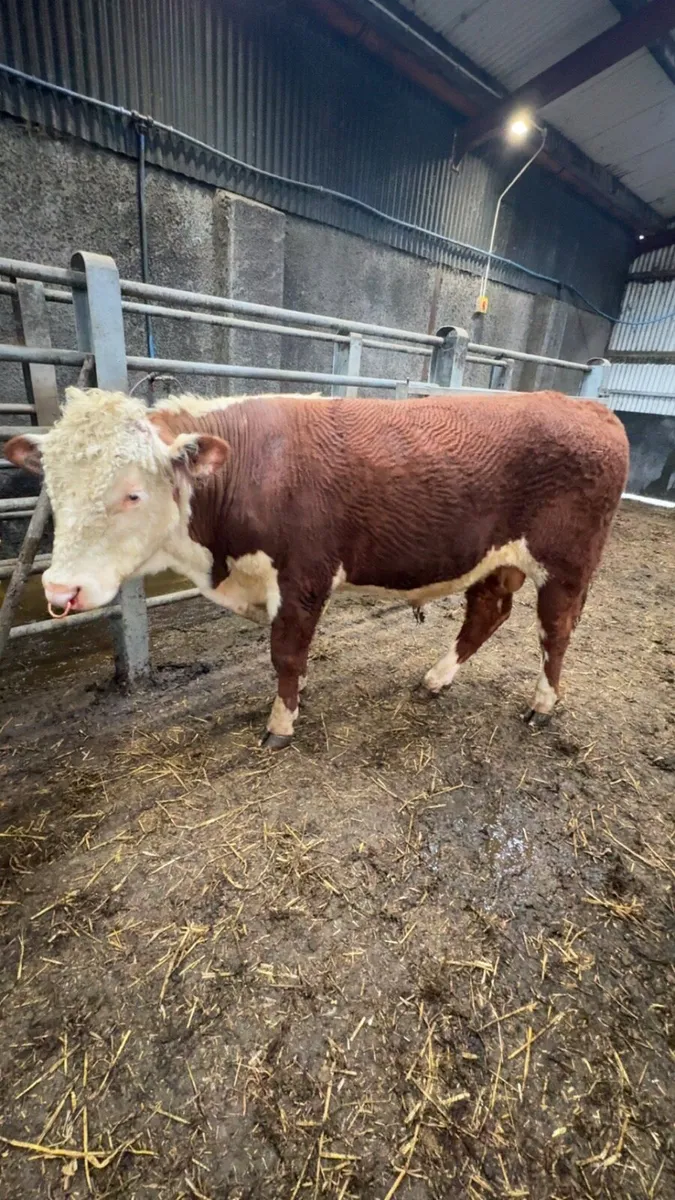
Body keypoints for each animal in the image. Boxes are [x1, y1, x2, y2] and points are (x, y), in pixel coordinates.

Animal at [5, 386, 629, 748]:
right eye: (53, 488)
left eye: (133, 494)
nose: (60, 588)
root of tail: (587, 405)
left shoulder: (303, 575)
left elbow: (286, 653)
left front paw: (281, 724)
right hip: (496, 558)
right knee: (488, 611)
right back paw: (436, 678)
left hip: (567, 562)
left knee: (556, 630)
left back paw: (543, 705)